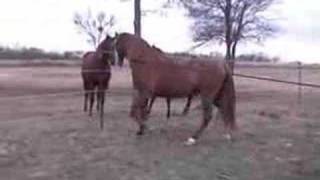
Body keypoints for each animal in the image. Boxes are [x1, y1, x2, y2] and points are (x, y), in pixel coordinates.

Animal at [99, 33, 236, 146]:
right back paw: (227, 134)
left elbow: (135, 113)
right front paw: (141, 131)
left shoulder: (144, 93)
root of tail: (222, 64)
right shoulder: (139, 92)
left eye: (110, 44)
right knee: (224, 109)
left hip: (207, 96)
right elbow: (137, 112)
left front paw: (146, 129)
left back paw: (192, 138)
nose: (114, 61)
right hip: (215, 96)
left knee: (208, 116)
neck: (145, 61)